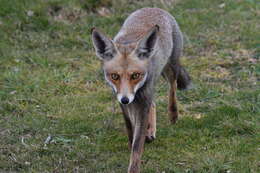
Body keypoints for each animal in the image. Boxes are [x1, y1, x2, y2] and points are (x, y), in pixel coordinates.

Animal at [91, 7, 191, 172]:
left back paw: (173, 114)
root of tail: (153, 8)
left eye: (135, 75)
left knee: (173, 87)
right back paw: (150, 132)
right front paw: (140, 138)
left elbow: (137, 146)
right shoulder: (124, 102)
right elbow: (131, 131)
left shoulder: (142, 100)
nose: (125, 99)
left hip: (170, 68)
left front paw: (134, 166)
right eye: (114, 76)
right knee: (154, 103)